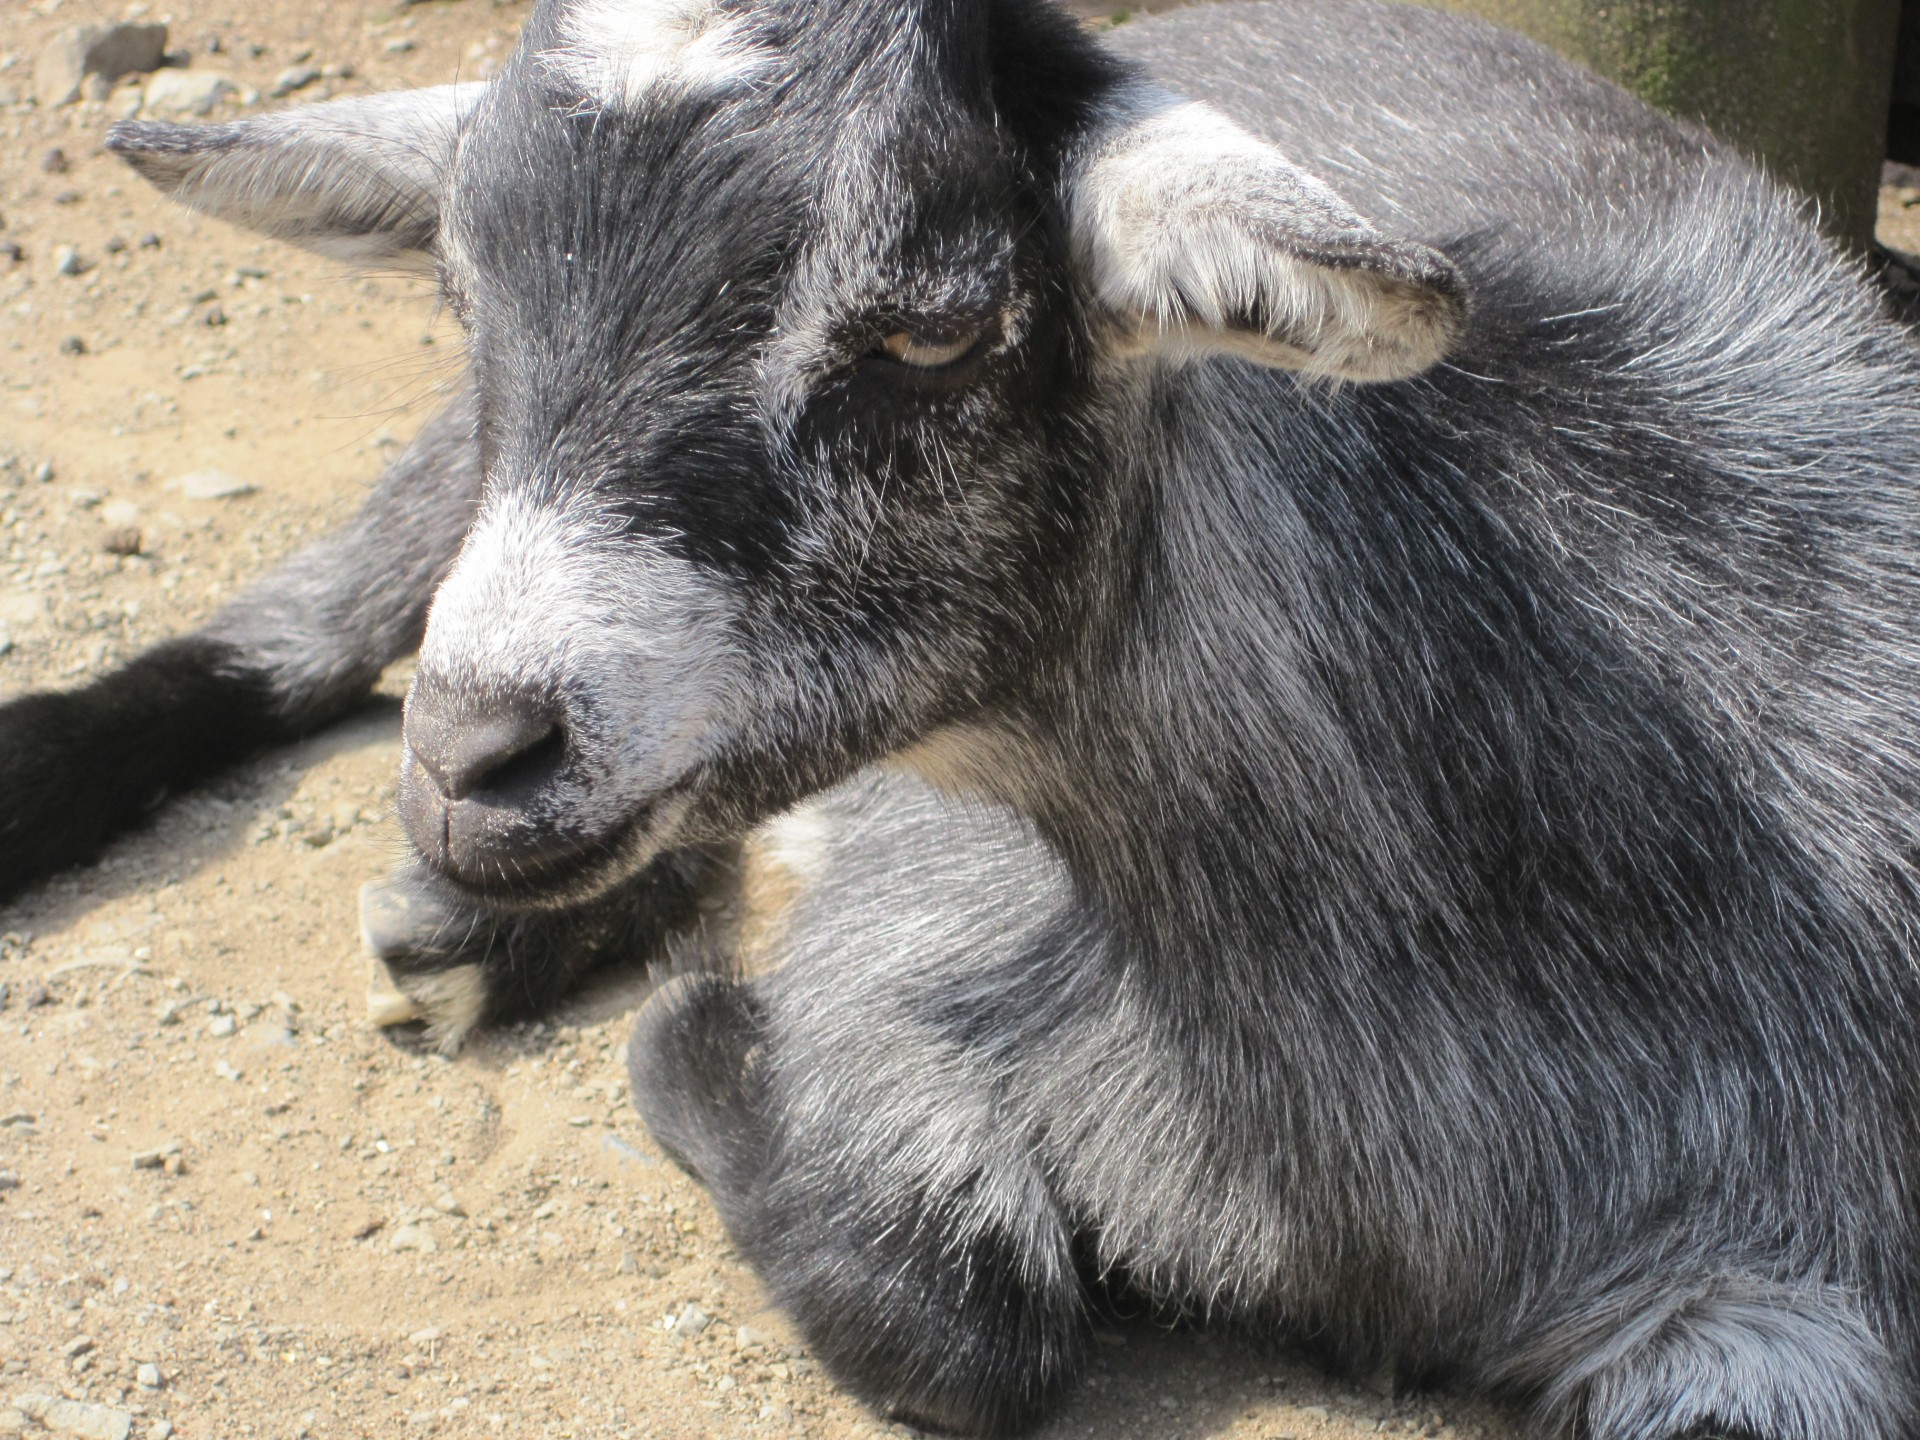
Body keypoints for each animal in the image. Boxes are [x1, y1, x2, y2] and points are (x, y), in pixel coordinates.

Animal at [3, 0, 1920, 1436]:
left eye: (934, 334)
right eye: (470, 305)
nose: (476, 759)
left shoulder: (1799, 1304)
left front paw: (691, 1024)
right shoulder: (914, 949)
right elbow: (965, 1317)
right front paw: (703, 1041)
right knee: (303, 625)